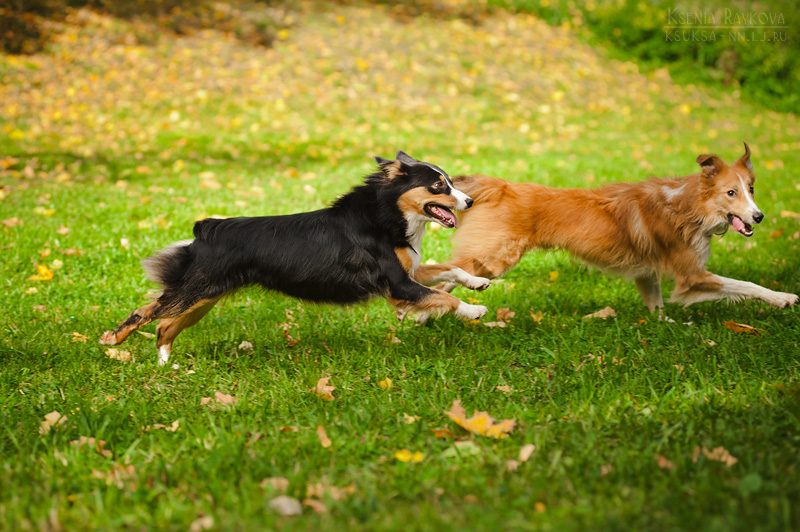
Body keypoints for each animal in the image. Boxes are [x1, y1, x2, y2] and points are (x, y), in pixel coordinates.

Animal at [97, 152, 490, 364]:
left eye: (451, 182)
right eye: (439, 186)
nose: (470, 202)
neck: (387, 212)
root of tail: (207, 229)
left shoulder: (408, 272)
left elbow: (448, 271)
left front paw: (478, 281)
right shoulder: (396, 284)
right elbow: (443, 297)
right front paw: (474, 310)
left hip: (204, 298)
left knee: (164, 326)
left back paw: (167, 367)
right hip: (195, 290)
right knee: (148, 312)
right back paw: (112, 341)